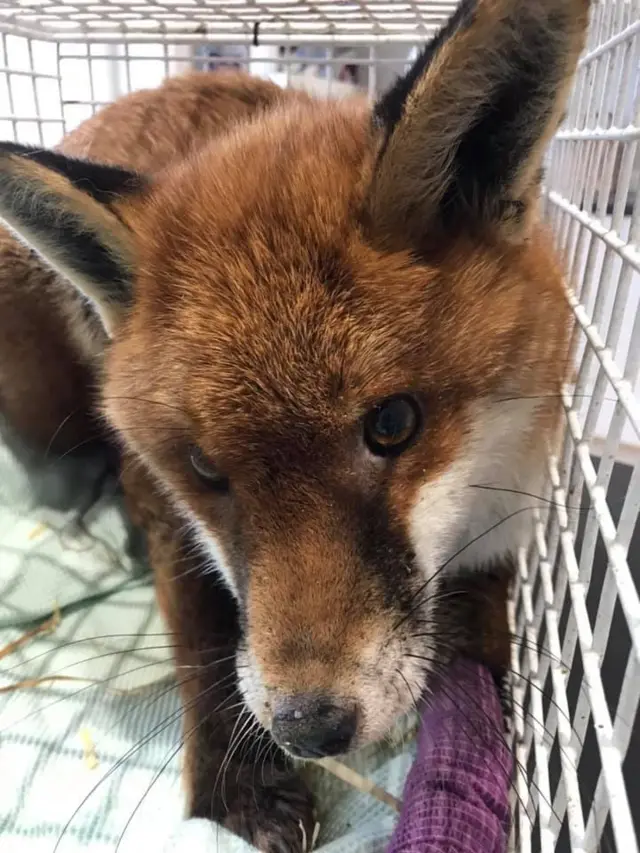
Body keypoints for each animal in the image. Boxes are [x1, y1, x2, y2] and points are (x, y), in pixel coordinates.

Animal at [0, 0, 592, 848]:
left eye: (393, 423)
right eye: (205, 469)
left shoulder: (510, 513)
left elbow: (482, 641)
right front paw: (234, 781)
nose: (310, 727)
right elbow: (205, 633)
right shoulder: (162, 499)